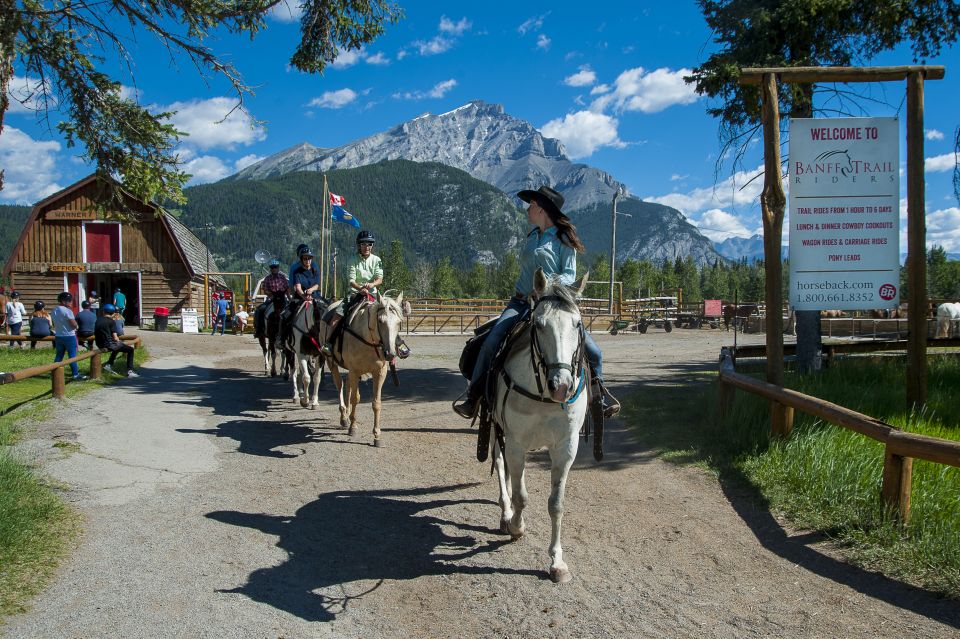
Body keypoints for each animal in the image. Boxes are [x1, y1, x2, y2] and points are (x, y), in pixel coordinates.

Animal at [322, 292, 408, 448]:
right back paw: (344, 417)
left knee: (347, 384)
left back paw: (347, 414)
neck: (367, 339)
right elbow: (355, 399)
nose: (390, 353)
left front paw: (377, 436)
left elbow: (376, 403)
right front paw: (353, 427)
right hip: (332, 362)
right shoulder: (354, 370)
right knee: (340, 385)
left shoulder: (379, 373)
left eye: (399, 322)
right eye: (380, 321)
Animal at [492, 270, 588, 584]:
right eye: (539, 324)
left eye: (578, 324)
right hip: (497, 430)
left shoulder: (566, 447)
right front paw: (516, 526)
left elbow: (556, 504)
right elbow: (521, 496)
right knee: (500, 465)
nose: (562, 386)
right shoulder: (516, 442)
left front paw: (557, 562)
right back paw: (505, 513)